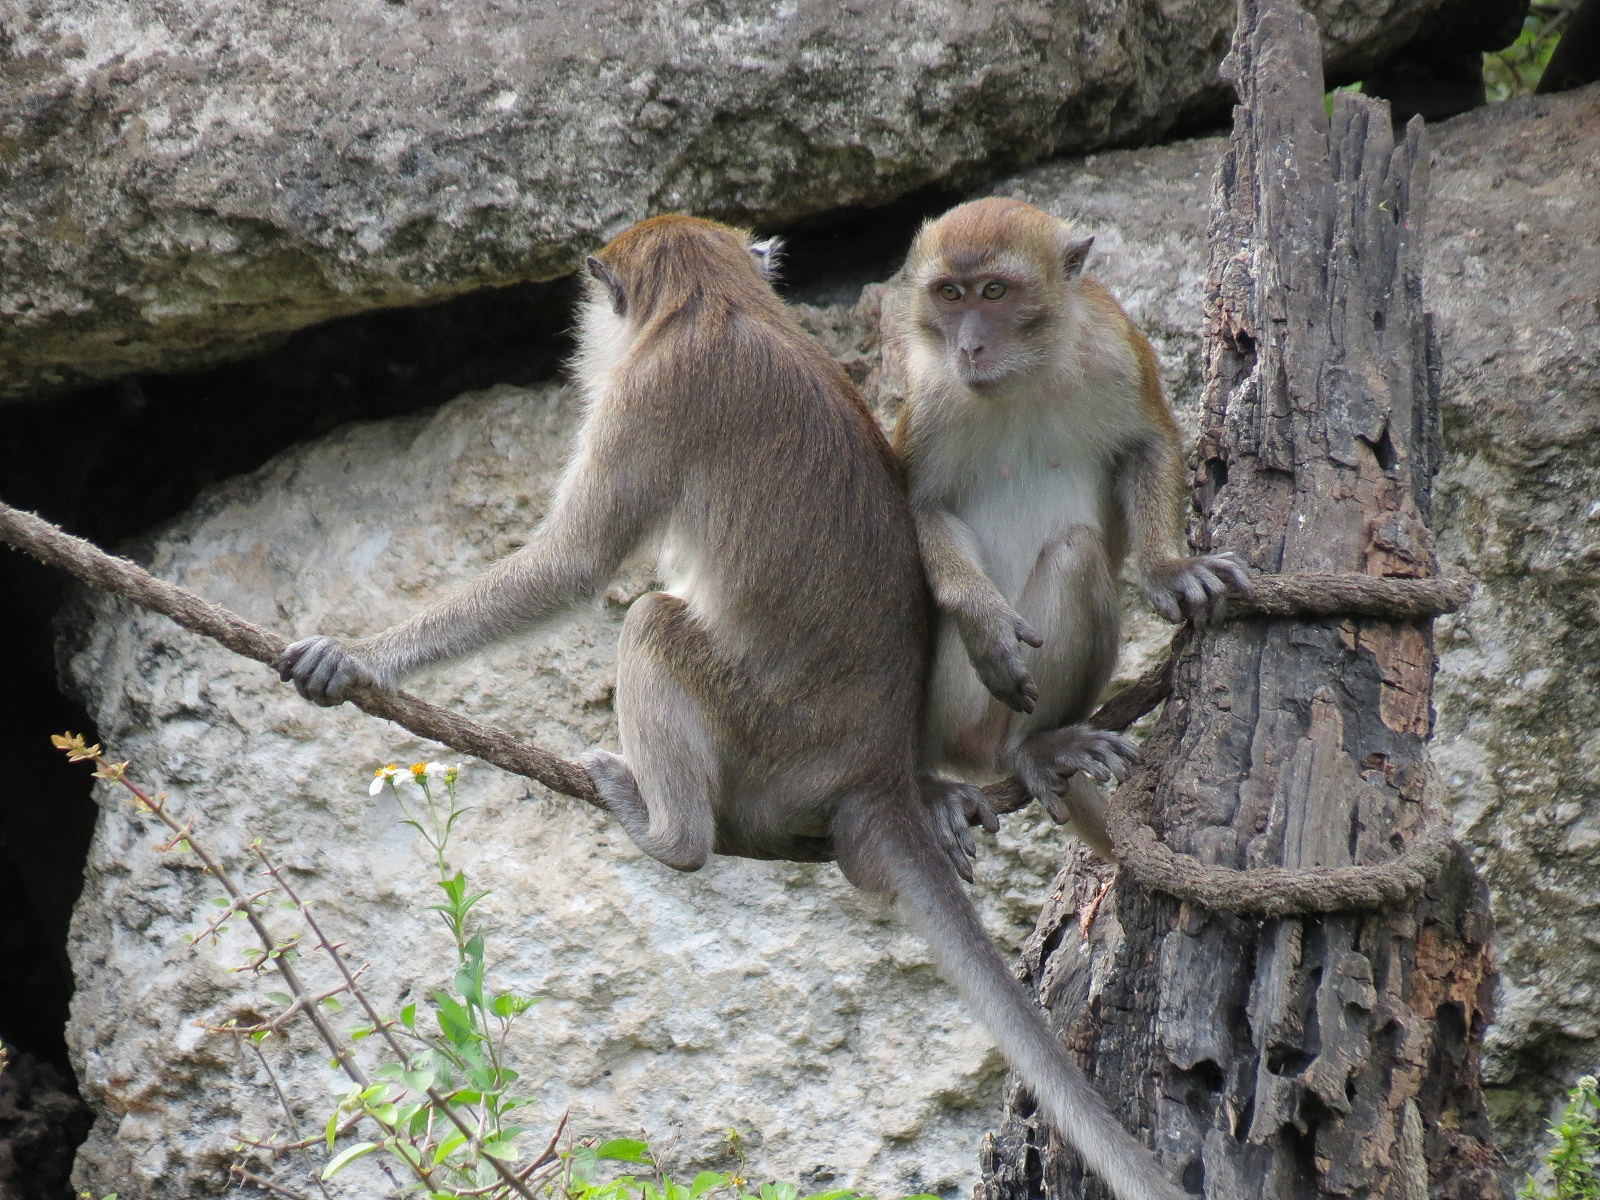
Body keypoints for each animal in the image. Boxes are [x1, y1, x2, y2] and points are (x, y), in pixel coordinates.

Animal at [277, 214, 1189, 1200]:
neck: (717, 303)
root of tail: (873, 772)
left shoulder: (651, 393)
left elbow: (573, 566)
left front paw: (359, 655)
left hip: (758, 733)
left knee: (650, 621)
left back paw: (669, 829)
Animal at [889, 197, 1252, 855]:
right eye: (950, 294)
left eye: (995, 290)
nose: (969, 347)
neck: (1026, 372)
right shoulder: (930, 394)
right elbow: (920, 507)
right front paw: (984, 620)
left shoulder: (1116, 348)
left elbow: (1146, 443)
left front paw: (1167, 567)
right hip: (956, 707)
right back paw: (927, 783)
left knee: (1076, 553)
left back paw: (1033, 747)